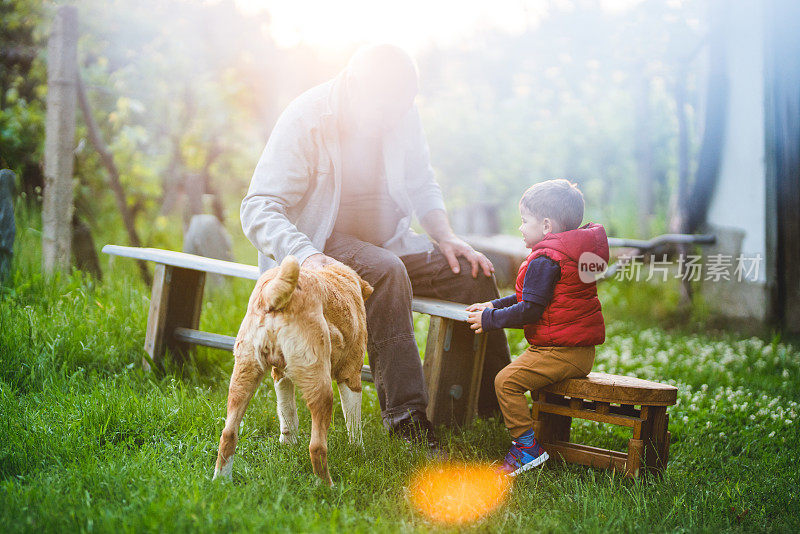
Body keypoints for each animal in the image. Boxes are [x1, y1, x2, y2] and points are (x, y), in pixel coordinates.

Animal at [214, 258, 374, 488]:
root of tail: (273, 295)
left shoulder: (280, 374)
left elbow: (287, 412)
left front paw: (288, 444)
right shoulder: (350, 375)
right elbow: (354, 425)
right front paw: (358, 452)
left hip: (243, 376)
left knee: (228, 433)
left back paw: (220, 481)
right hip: (322, 388)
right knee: (316, 447)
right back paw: (328, 488)